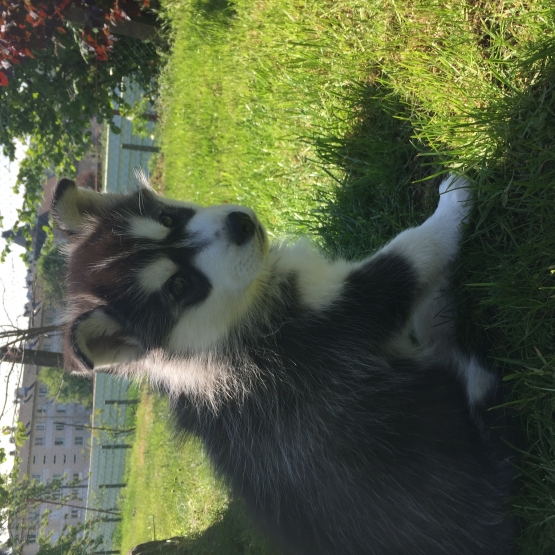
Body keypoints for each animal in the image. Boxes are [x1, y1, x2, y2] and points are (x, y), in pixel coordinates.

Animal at [51, 175, 512, 555]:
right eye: (179, 287)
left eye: (168, 217)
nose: (240, 223)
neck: (222, 336)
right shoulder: (347, 314)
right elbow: (412, 252)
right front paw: (454, 203)